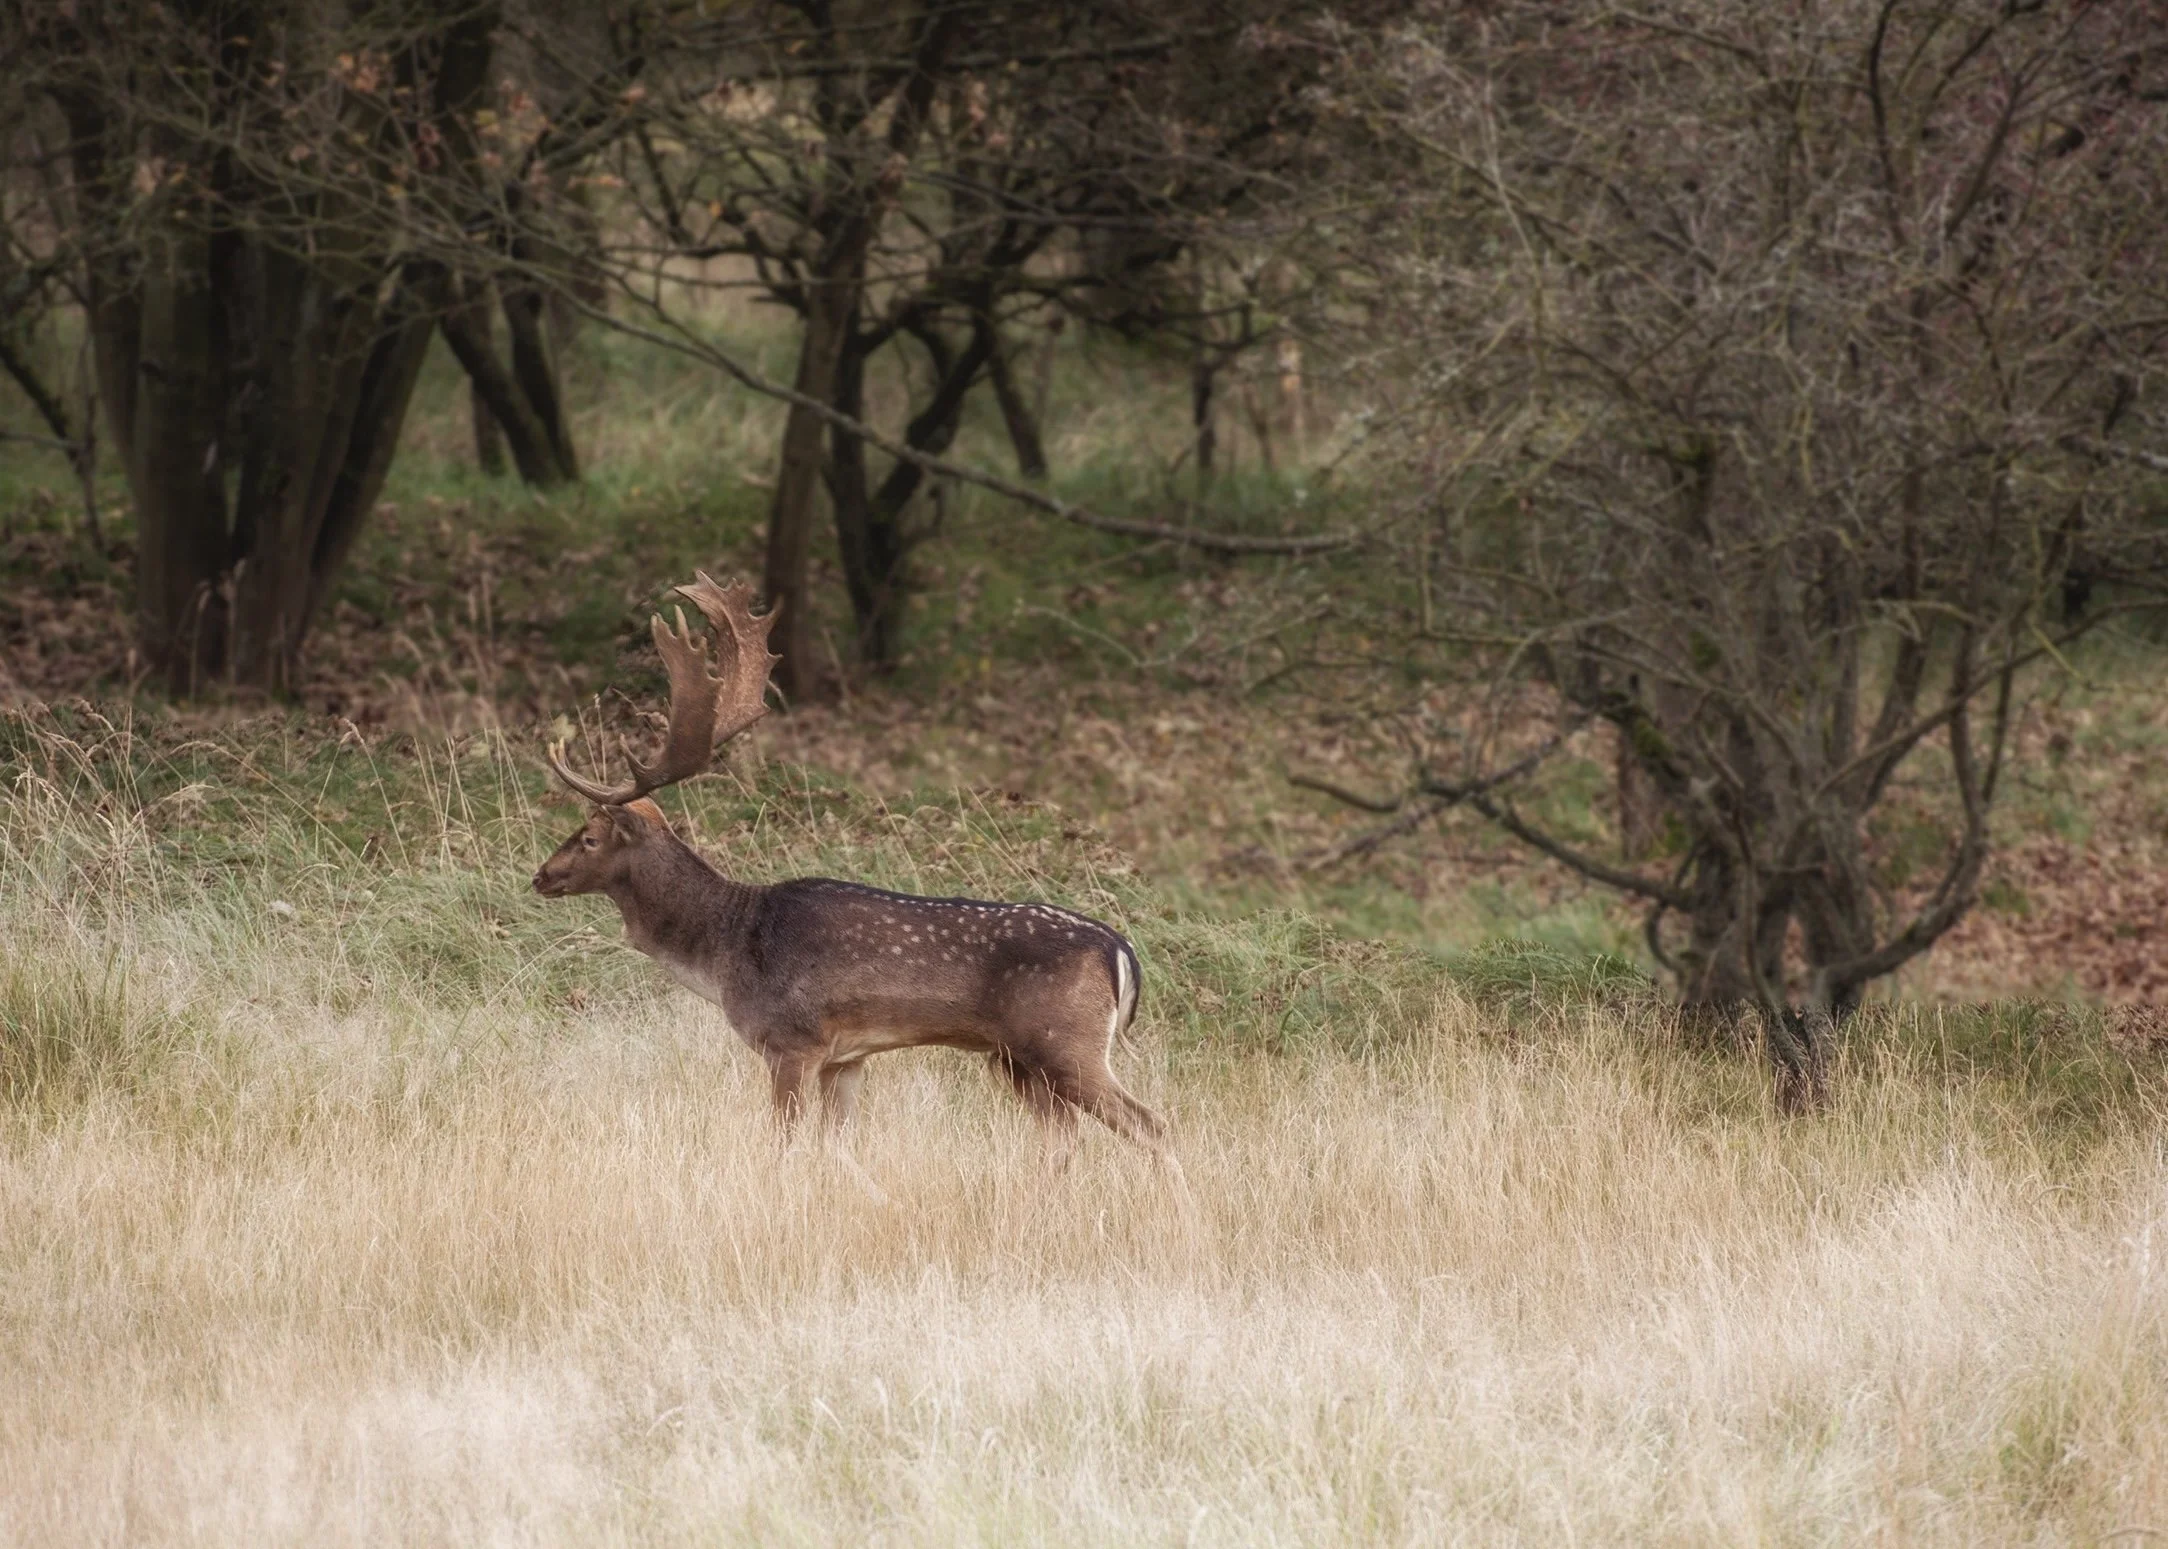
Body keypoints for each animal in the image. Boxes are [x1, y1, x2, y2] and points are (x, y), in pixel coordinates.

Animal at [531, 573, 1179, 1191]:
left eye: (589, 839)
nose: (541, 876)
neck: (726, 949)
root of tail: (1120, 949)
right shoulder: (848, 1057)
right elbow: (840, 1150)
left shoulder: (794, 1041)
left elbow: (785, 1146)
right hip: (1019, 1059)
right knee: (1064, 1141)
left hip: (1066, 1042)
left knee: (1152, 1124)